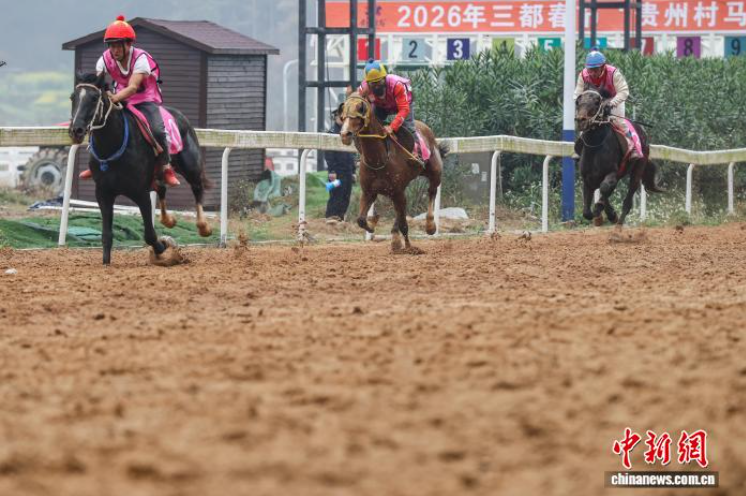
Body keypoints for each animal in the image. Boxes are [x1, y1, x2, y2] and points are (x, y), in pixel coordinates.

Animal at [68, 72, 212, 265]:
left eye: (93, 99)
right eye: (73, 97)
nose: (76, 130)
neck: (113, 146)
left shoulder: (140, 193)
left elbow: (150, 235)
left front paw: (163, 247)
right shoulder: (103, 193)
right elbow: (106, 235)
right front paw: (106, 262)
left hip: (190, 165)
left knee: (197, 188)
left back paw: (203, 226)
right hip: (158, 176)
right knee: (162, 188)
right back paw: (168, 220)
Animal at [339, 92, 448, 252]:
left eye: (360, 110)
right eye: (343, 114)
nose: (344, 134)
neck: (379, 159)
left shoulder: (396, 191)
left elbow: (404, 224)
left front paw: (409, 247)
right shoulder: (370, 192)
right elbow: (361, 220)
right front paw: (373, 223)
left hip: (434, 172)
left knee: (431, 191)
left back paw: (430, 226)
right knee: (401, 211)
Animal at [575, 83, 664, 227]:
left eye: (597, 102)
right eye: (578, 101)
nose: (581, 120)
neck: (596, 146)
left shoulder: (612, 173)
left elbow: (605, 188)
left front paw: (605, 211)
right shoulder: (588, 177)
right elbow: (587, 212)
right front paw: (604, 214)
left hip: (638, 168)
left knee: (628, 200)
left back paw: (619, 223)